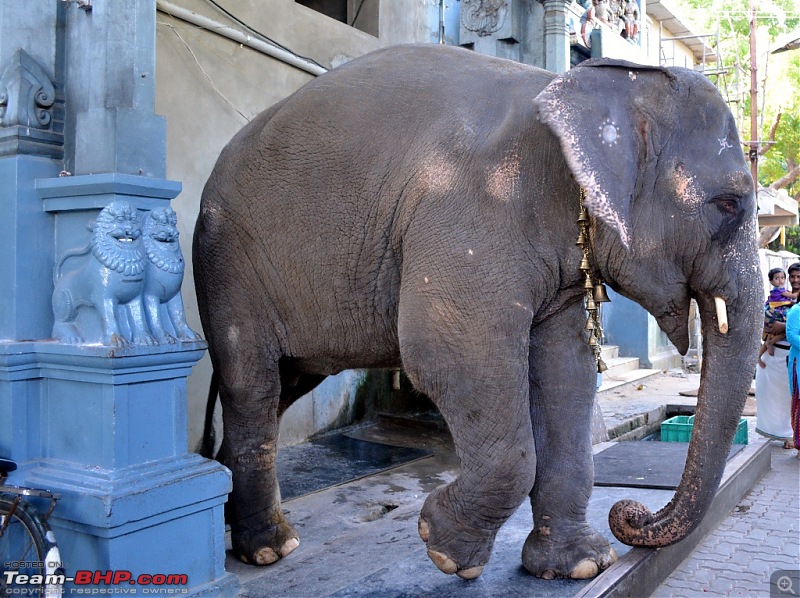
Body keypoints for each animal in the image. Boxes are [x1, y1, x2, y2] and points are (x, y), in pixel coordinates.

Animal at [191, 45, 760, 580]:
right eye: (729, 205)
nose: (631, 514)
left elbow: (566, 372)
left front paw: (580, 566)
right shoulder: (471, 212)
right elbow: (447, 356)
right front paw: (446, 550)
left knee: (285, 383)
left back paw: (237, 523)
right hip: (227, 257)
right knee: (252, 383)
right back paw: (270, 548)